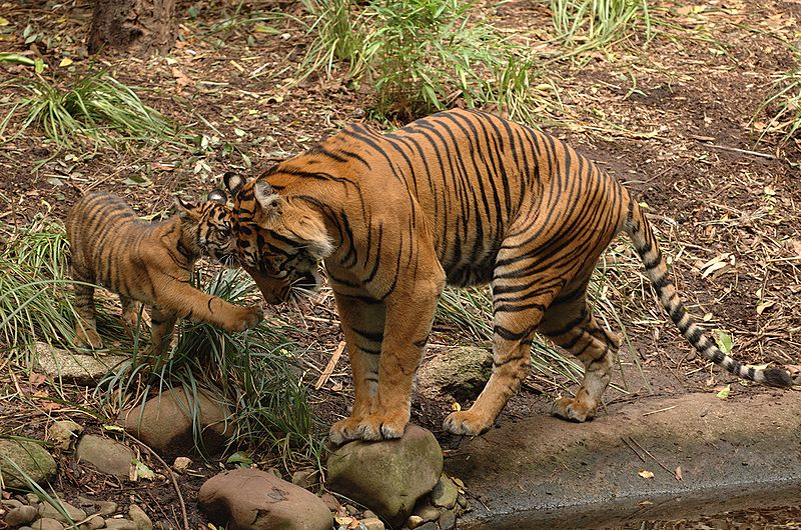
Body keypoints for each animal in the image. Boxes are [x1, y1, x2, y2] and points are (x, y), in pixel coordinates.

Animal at [68, 188, 262, 352]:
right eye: (225, 233)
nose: (247, 250)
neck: (188, 250)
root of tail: (87, 195)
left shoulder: (163, 305)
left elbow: (161, 334)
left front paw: (153, 361)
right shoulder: (172, 289)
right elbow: (210, 303)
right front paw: (248, 315)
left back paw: (133, 319)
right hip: (82, 268)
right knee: (83, 303)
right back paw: (88, 336)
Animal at [222, 107, 792, 442]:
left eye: (267, 263)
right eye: (249, 268)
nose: (274, 301)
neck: (333, 232)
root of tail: (617, 186)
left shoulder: (415, 285)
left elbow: (395, 357)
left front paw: (387, 421)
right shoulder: (354, 295)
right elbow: (363, 359)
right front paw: (359, 420)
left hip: (521, 271)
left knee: (515, 359)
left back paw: (472, 420)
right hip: (562, 294)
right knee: (605, 340)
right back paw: (581, 408)